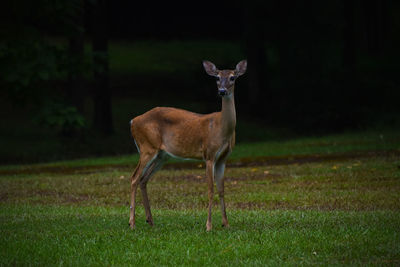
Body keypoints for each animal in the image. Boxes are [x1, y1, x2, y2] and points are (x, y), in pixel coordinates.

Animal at [130, 59, 245, 231]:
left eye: (232, 77)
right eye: (217, 78)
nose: (222, 91)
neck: (221, 128)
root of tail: (133, 121)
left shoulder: (223, 158)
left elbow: (221, 190)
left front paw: (226, 224)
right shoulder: (209, 154)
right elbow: (210, 190)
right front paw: (209, 226)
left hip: (162, 156)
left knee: (143, 179)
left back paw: (150, 221)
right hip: (147, 147)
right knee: (134, 178)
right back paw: (132, 223)